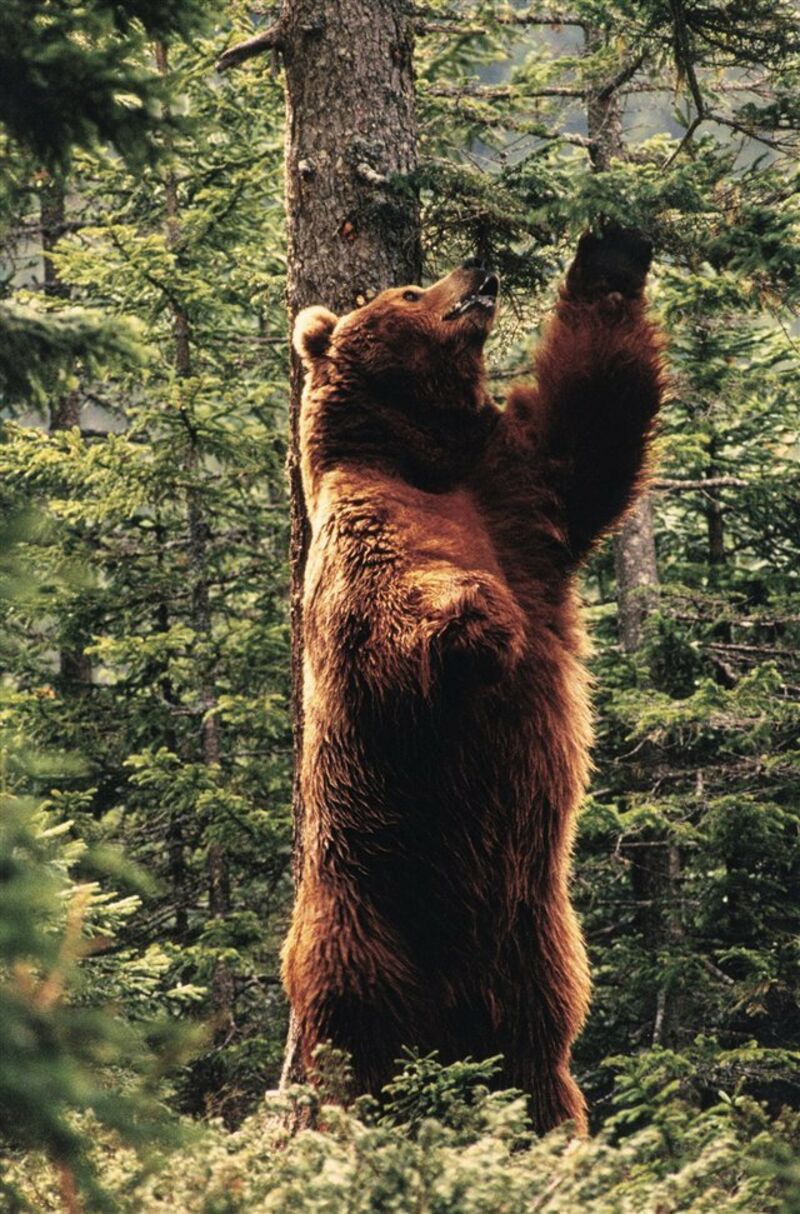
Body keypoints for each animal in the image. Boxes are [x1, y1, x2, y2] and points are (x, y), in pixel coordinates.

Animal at [283, 226, 663, 1135]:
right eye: (408, 290)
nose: (477, 269)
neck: (421, 458)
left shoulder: (516, 491)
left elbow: (592, 425)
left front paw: (611, 253)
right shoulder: (362, 535)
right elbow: (384, 623)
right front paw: (478, 616)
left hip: (536, 945)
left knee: (538, 1057)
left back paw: (553, 1130)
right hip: (363, 920)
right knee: (353, 1052)